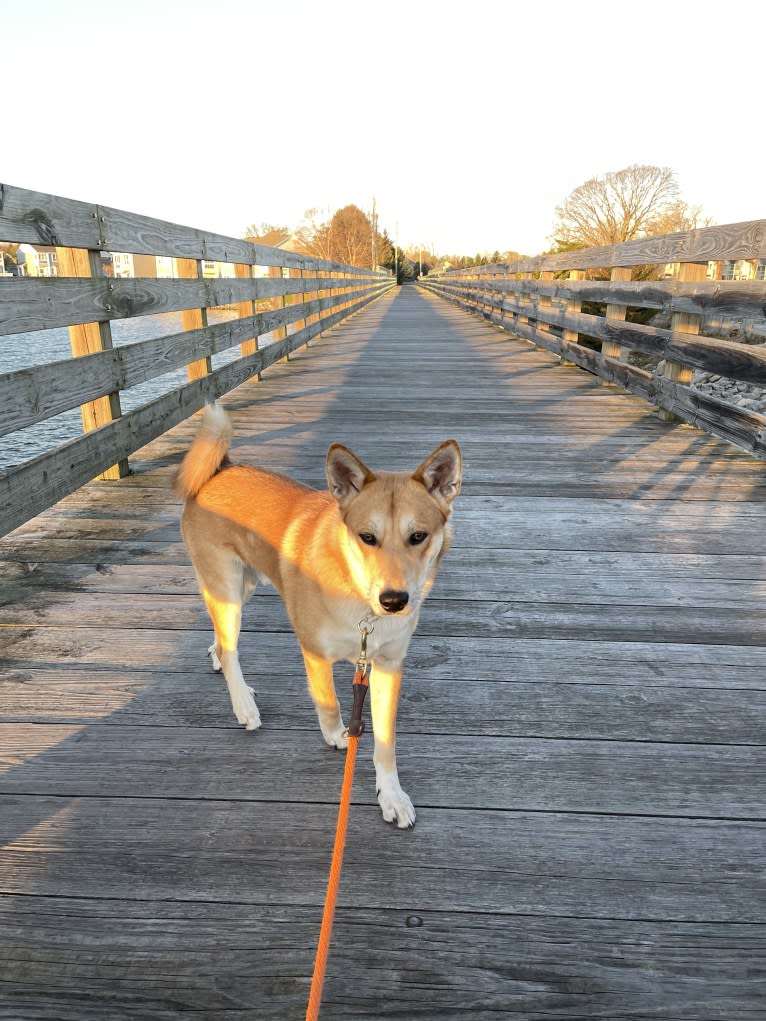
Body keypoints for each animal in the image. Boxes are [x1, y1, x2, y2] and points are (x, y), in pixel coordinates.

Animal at [175, 402, 461, 824]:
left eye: (418, 536)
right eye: (367, 537)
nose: (394, 601)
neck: (359, 598)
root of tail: (220, 470)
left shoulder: (389, 665)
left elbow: (386, 742)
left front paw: (391, 795)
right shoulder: (314, 651)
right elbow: (329, 701)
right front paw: (336, 735)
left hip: (242, 586)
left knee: (221, 642)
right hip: (227, 588)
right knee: (230, 649)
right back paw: (244, 705)